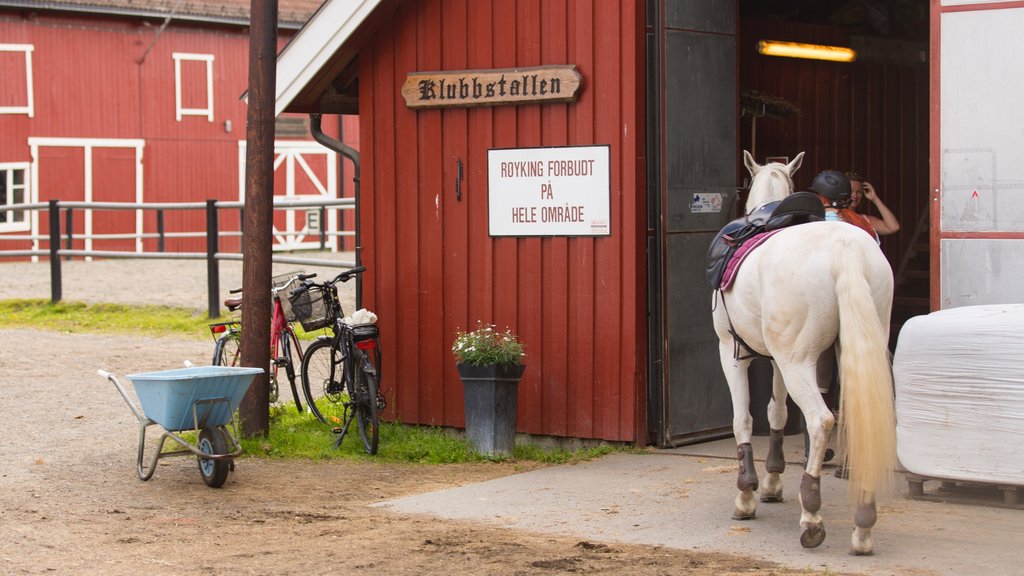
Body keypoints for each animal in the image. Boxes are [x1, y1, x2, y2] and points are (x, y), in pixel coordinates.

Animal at [712, 150, 897, 553]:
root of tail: (844, 251)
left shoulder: (733, 351)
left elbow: (743, 418)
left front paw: (747, 495)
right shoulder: (778, 361)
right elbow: (777, 413)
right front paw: (772, 482)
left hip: (797, 363)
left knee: (821, 419)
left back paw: (811, 516)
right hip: (851, 354)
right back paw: (863, 524)